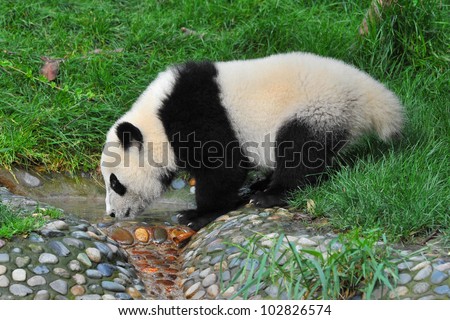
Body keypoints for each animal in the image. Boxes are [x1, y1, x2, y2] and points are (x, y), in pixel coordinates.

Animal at [100, 52, 402, 231]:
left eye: (115, 182)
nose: (112, 214)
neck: (157, 121)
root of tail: (371, 97)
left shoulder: (198, 116)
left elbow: (223, 167)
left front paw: (197, 215)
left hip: (316, 110)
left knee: (299, 153)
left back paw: (270, 194)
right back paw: (261, 185)